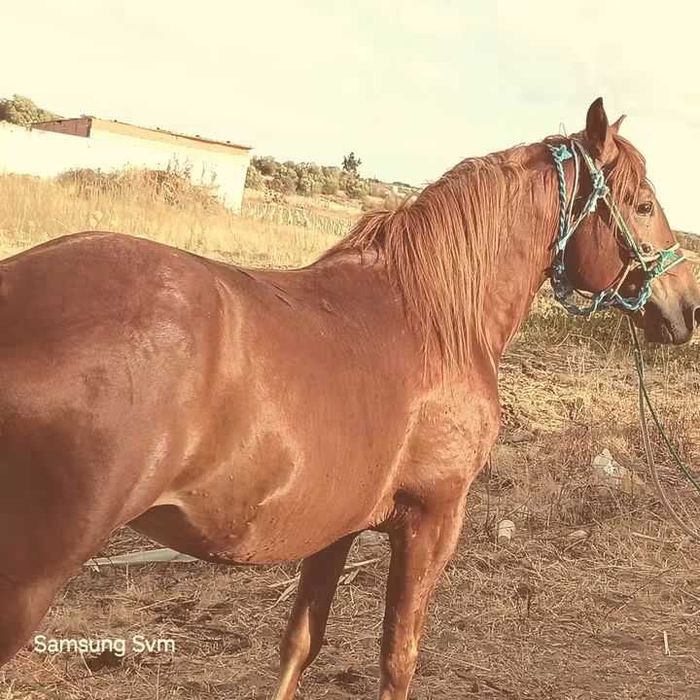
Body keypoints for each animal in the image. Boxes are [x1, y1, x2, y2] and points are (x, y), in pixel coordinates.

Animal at [0, 98, 698, 699]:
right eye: (642, 204)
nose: (686, 306)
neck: (435, 318)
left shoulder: (334, 526)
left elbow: (301, 645)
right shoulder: (431, 520)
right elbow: (398, 656)